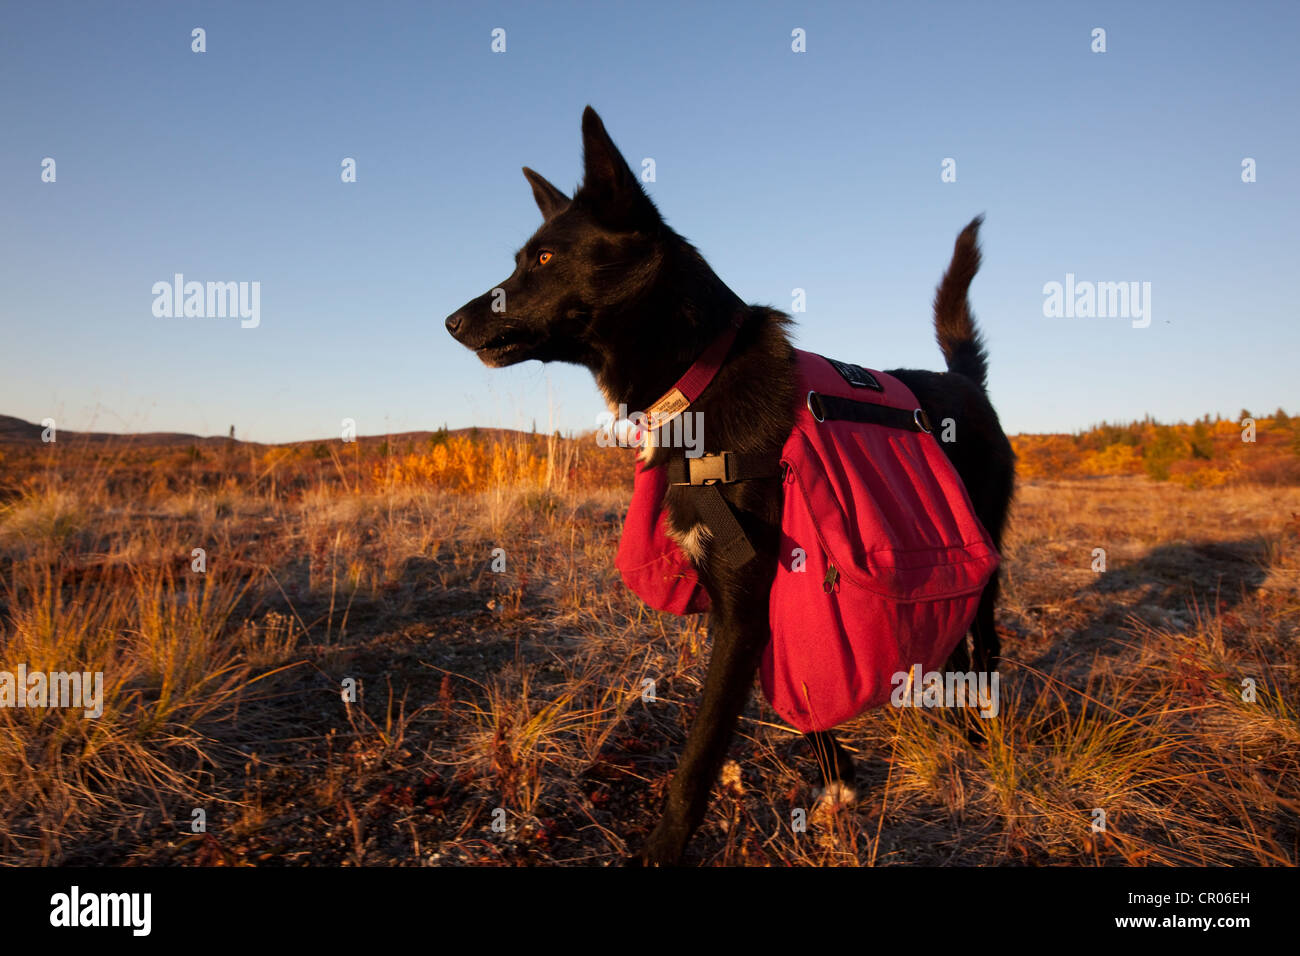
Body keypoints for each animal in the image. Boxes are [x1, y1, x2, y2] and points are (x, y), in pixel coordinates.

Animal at [447, 106, 1013, 868]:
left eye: (541, 260)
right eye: (519, 258)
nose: (452, 321)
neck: (699, 381)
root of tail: (965, 382)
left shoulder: (744, 602)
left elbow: (700, 755)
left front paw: (661, 850)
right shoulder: (738, 599)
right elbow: (795, 693)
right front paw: (840, 782)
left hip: (982, 555)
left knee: (982, 644)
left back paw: (980, 739)